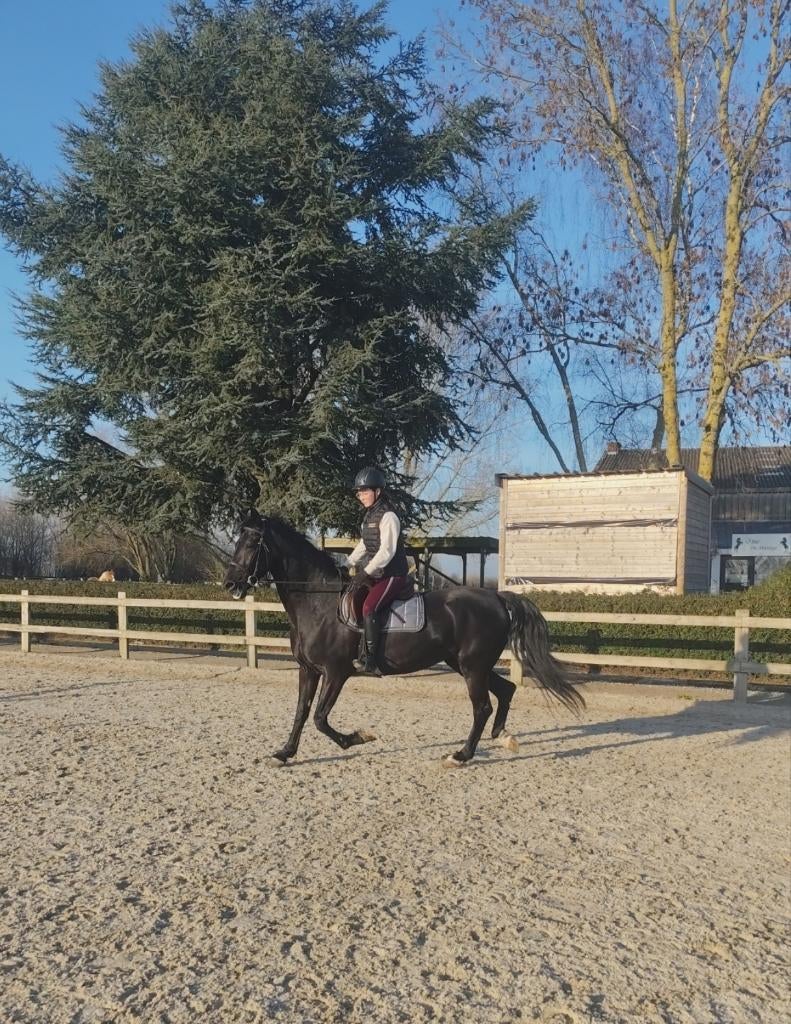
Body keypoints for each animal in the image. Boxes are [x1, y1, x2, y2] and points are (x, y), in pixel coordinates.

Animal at [224, 510, 584, 767]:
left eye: (252, 544)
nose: (230, 585)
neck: (318, 604)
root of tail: (496, 597)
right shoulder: (308, 670)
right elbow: (301, 713)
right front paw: (284, 753)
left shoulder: (336, 672)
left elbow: (320, 718)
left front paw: (358, 738)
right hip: (467, 664)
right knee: (505, 691)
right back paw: (502, 737)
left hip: (472, 667)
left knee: (482, 707)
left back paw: (460, 755)